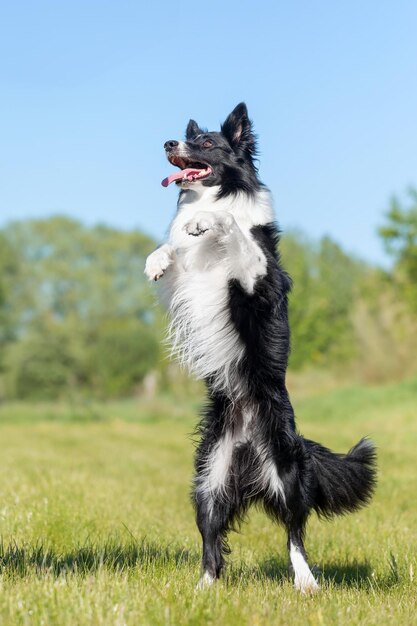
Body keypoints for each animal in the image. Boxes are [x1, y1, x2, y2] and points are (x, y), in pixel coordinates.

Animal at [145, 101, 376, 588]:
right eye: (184, 137)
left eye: (205, 142)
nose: (169, 143)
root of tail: (251, 449)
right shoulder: (184, 286)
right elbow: (172, 252)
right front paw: (156, 259)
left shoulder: (258, 280)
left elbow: (233, 226)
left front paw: (206, 222)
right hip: (208, 478)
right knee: (212, 537)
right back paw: (204, 587)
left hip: (286, 473)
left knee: (295, 532)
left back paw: (306, 583)